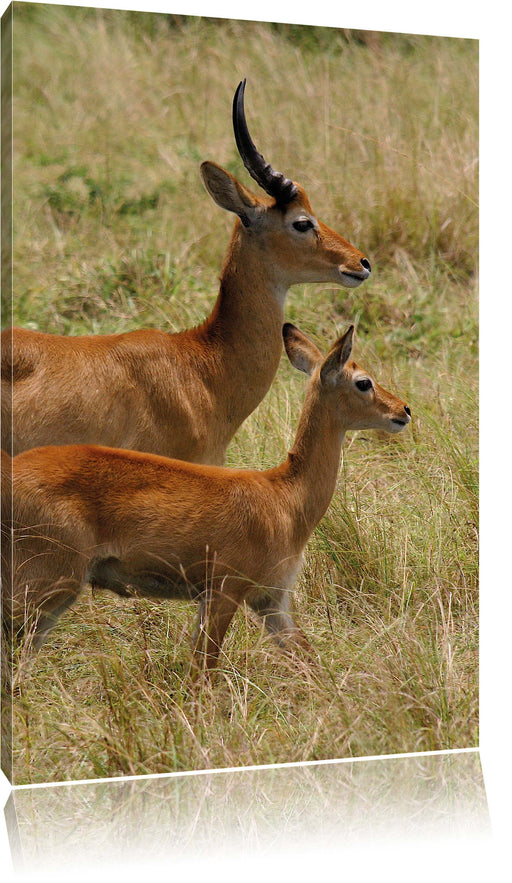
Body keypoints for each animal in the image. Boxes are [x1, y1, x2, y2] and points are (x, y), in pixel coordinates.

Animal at [0, 324, 408, 668]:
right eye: (363, 381)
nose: (403, 410)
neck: (286, 498)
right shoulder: (224, 593)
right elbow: (203, 671)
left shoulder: (272, 600)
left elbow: (309, 659)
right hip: (45, 584)